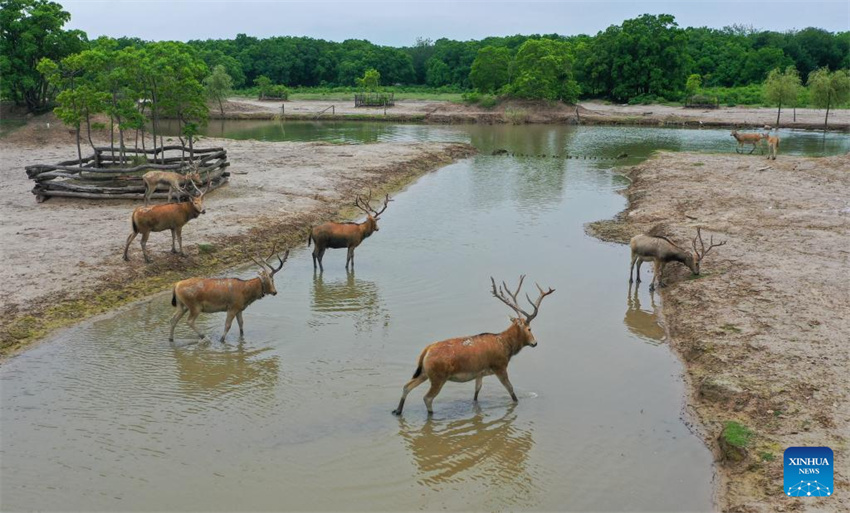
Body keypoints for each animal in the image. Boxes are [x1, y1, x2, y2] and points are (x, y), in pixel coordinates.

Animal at [392, 275, 555, 416]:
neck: (506, 346)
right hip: (438, 376)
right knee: (427, 398)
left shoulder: (479, 372)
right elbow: (510, 389)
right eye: (530, 329)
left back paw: (397, 411)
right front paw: (516, 401)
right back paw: (431, 415)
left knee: (407, 386)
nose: (535, 343)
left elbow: (476, 392)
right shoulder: (499, 366)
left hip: (424, 372)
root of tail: (426, 351)